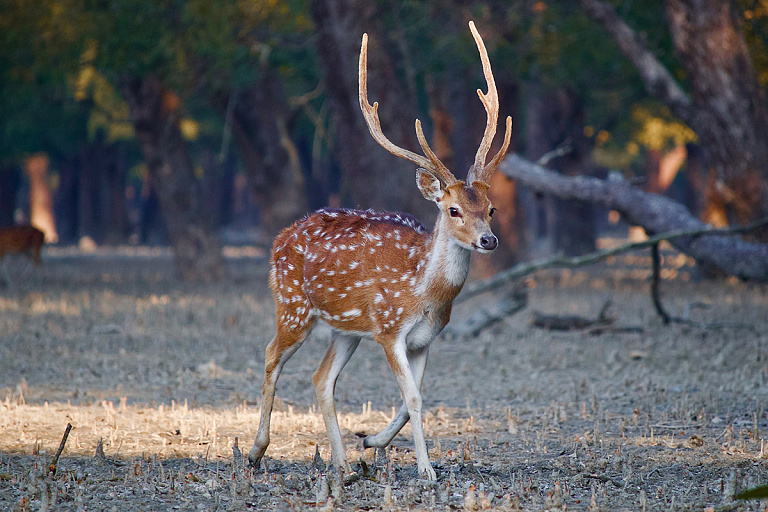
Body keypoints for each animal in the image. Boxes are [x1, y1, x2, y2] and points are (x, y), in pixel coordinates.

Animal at [249, 22, 512, 480]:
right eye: (454, 209)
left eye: (491, 208)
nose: (489, 240)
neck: (424, 293)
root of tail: (281, 238)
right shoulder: (389, 330)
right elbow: (413, 399)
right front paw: (426, 470)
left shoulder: (425, 338)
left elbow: (415, 400)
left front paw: (371, 442)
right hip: (293, 305)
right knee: (270, 355)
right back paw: (255, 451)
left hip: (346, 329)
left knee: (321, 378)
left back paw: (343, 464)